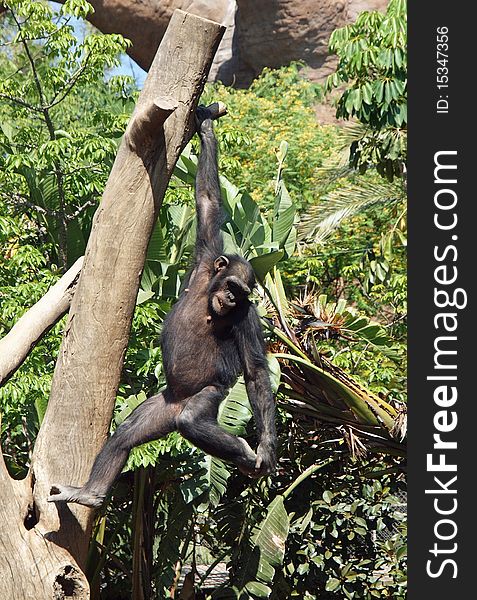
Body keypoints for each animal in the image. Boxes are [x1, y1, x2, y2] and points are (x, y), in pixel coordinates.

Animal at [48, 105, 276, 508]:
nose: (233, 297)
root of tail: (175, 407)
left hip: (205, 396)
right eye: (231, 285)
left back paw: (246, 453)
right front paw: (206, 127)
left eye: (242, 293)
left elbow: (255, 371)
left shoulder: (249, 317)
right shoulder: (206, 255)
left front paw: (265, 447)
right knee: (126, 433)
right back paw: (90, 494)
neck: (210, 296)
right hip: (158, 409)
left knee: (192, 422)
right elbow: (207, 200)